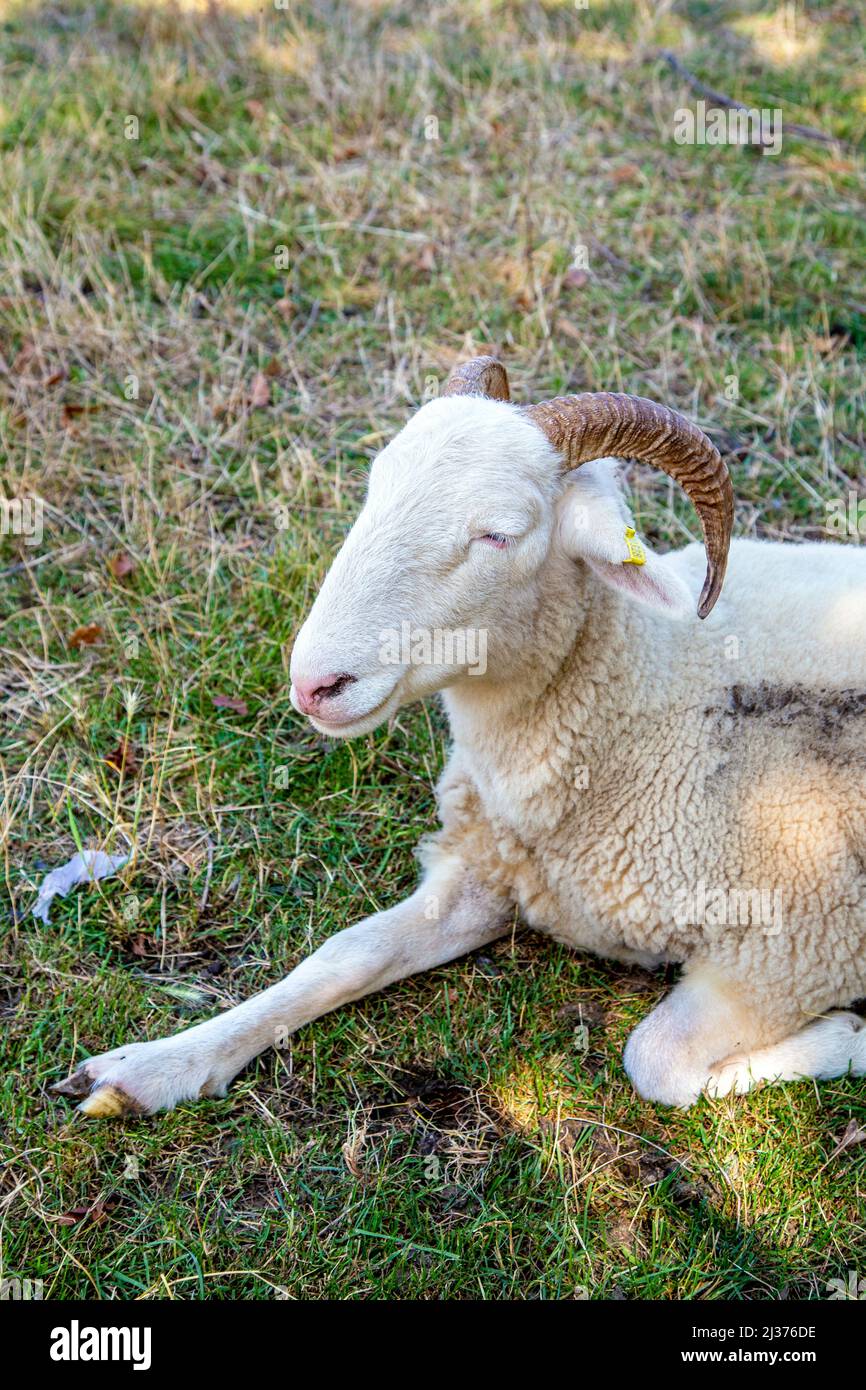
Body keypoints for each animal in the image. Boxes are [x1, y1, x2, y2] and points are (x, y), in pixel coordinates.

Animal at [55, 358, 866, 1117]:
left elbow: (656, 1060)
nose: (315, 684)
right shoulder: (488, 869)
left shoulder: (792, 945)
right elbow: (344, 955)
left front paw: (846, 1040)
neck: (652, 699)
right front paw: (154, 1066)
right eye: (375, 486)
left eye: (499, 535)